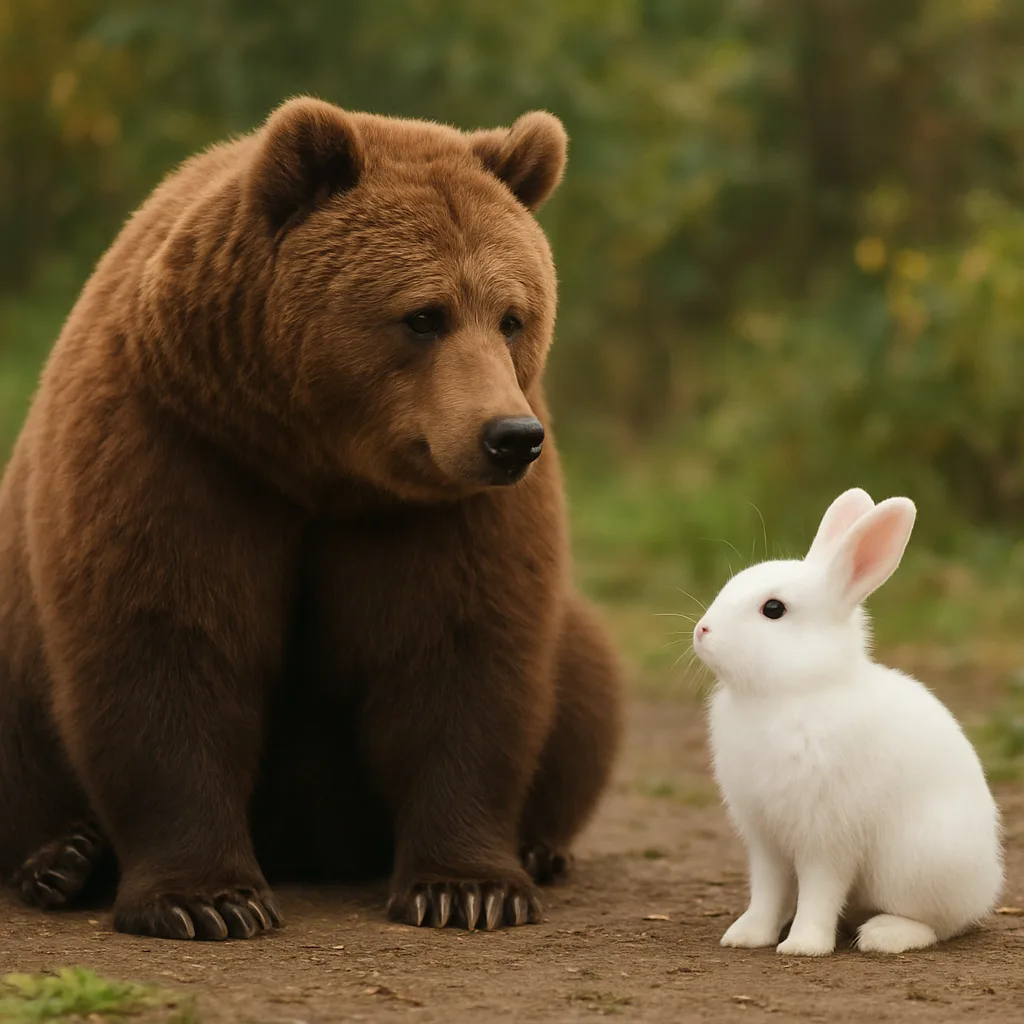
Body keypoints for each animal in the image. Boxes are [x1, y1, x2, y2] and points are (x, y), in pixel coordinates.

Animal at [0, 97, 624, 940]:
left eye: (512, 317)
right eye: (423, 315)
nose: (509, 437)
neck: (317, 464)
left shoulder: (437, 512)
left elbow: (457, 652)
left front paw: (467, 888)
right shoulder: (176, 446)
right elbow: (167, 641)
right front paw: (208, 898)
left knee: (585, 670)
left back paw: (539, 846)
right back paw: (61, 858)